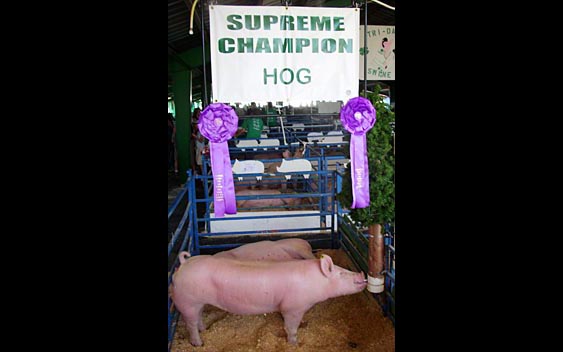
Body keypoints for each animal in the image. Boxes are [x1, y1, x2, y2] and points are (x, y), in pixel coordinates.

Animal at [171, 253, 366, 346]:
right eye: (341, 274)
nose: (361, 274)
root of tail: (184, 264)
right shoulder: (293, 307)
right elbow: (291, 328)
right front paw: (294, 344)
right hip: (187, 301)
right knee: (190, 324)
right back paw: (199, 343)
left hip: (197, 303)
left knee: (198, 317)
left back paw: (204, 330)